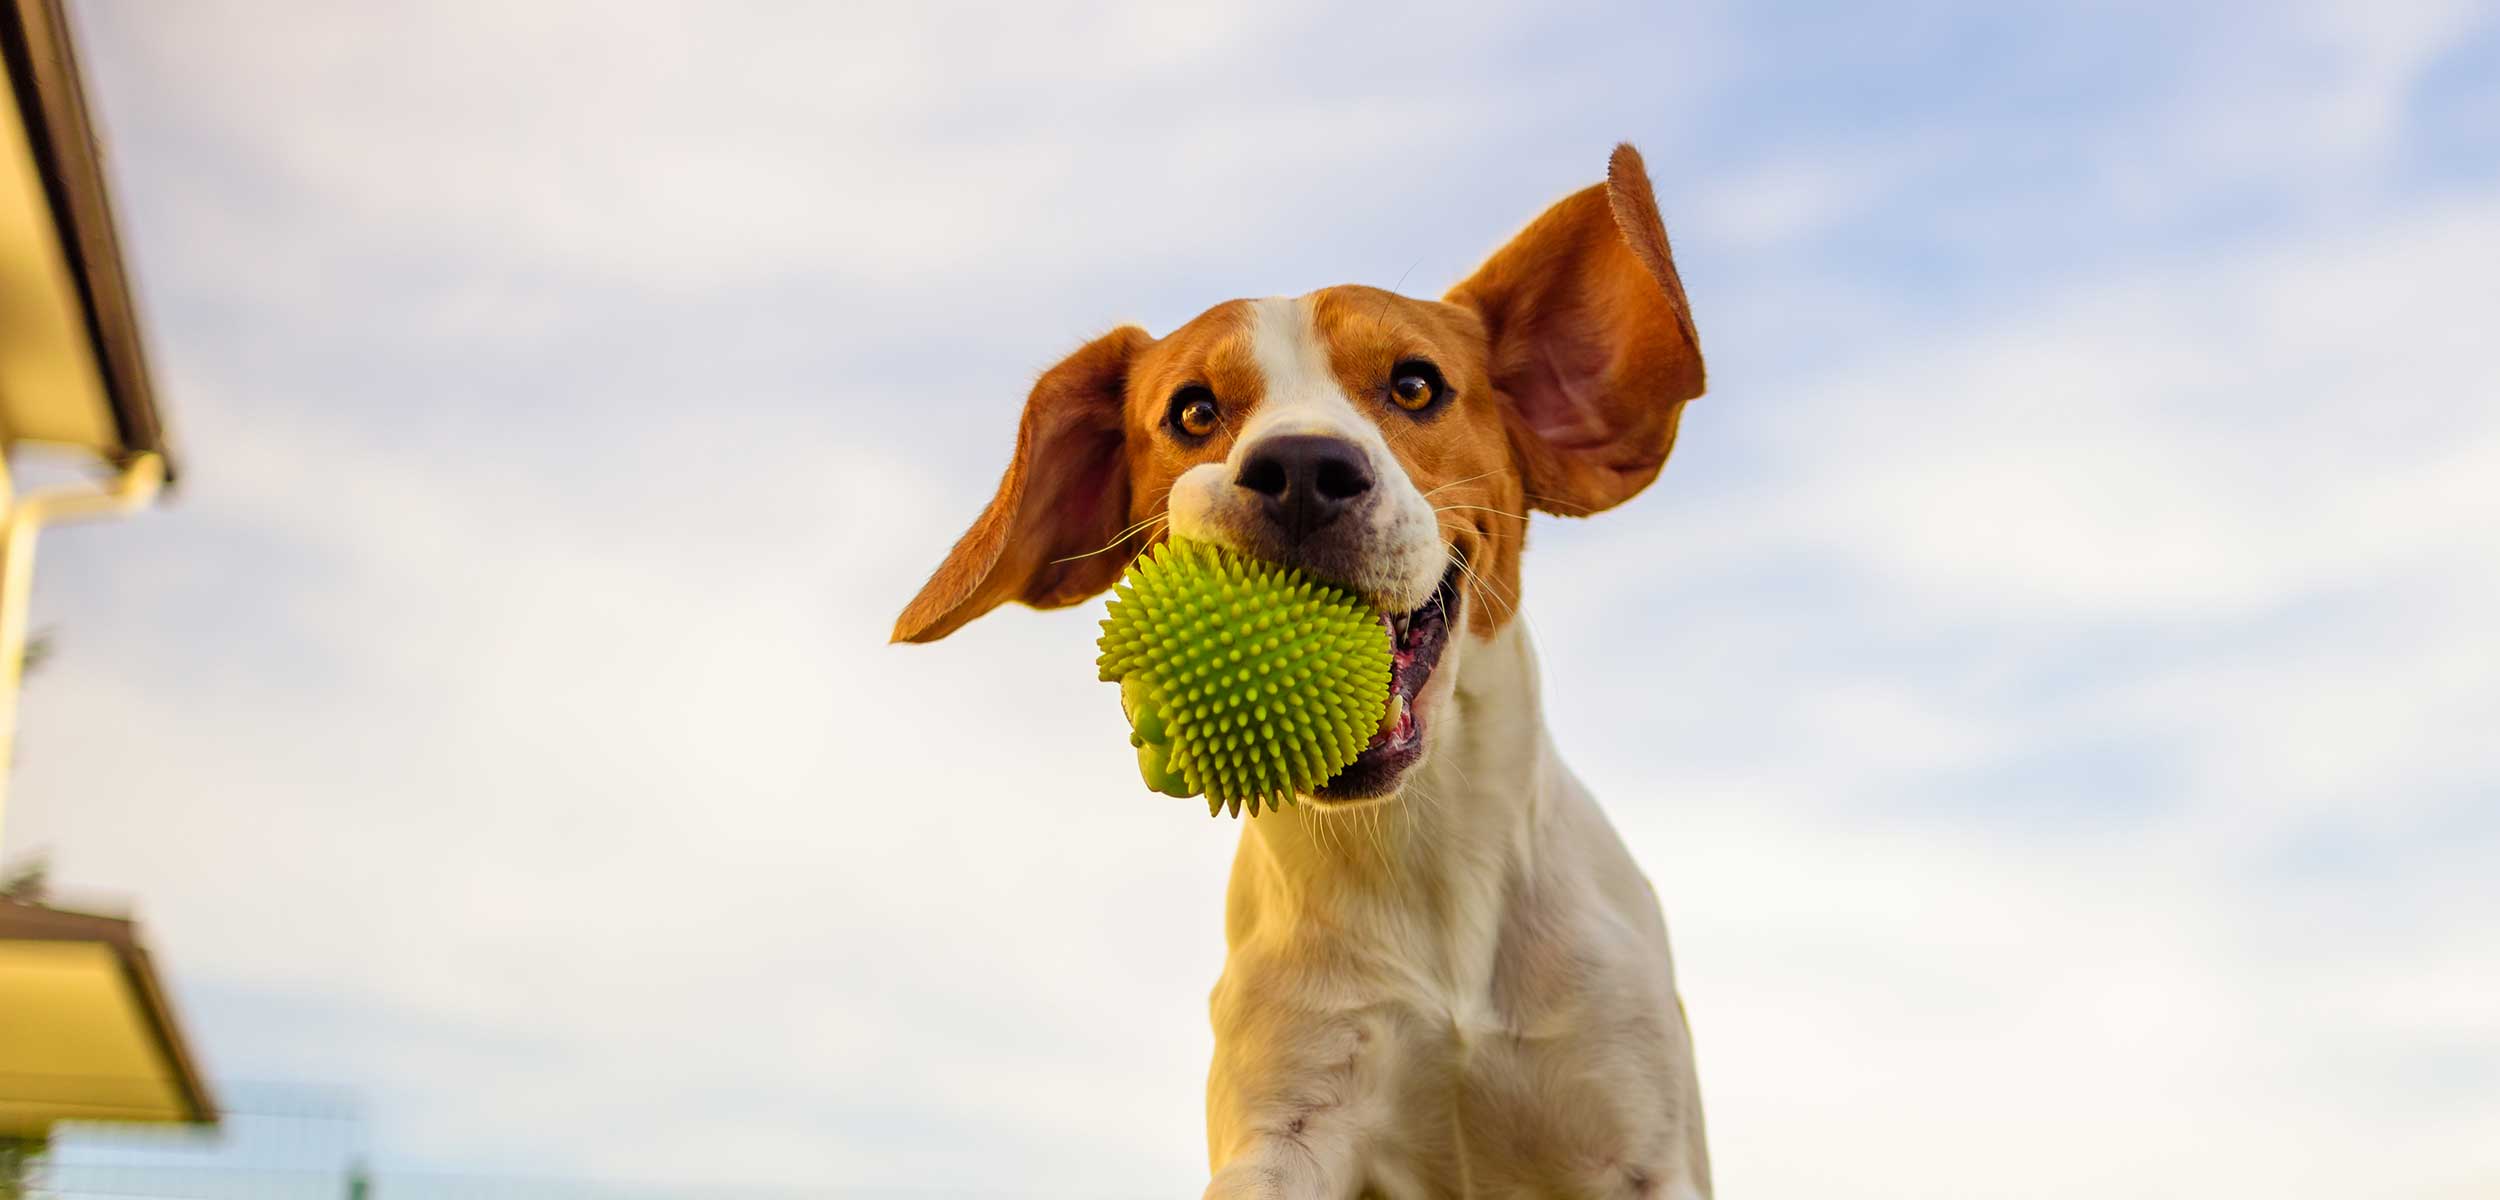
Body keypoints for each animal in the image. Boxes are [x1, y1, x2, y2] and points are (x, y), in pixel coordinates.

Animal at [890, 145, 1710, 1195]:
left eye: (1415, 386)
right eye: (1193, 409)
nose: (1302, 471)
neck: (1418, 865)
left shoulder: (1633, 1130)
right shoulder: (1287, 1116)